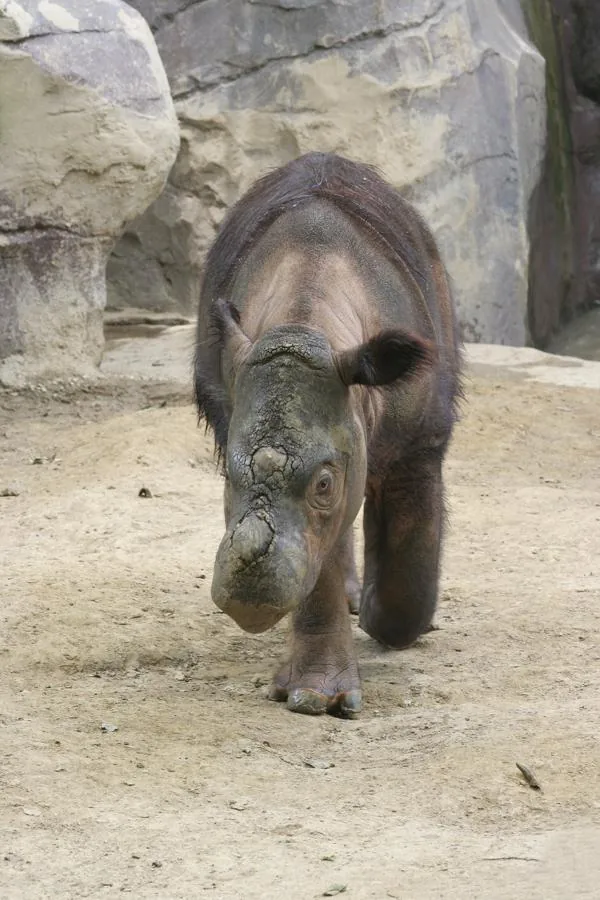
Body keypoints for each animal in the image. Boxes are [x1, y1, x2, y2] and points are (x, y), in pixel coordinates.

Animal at [194, 152, 461, 718]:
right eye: (226, 476)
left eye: (323, 483)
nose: (248, 596)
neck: (306, 325)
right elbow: (320, 559)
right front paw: (315, 698)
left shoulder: (419, 438)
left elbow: (404, 531)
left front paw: (386, 619)